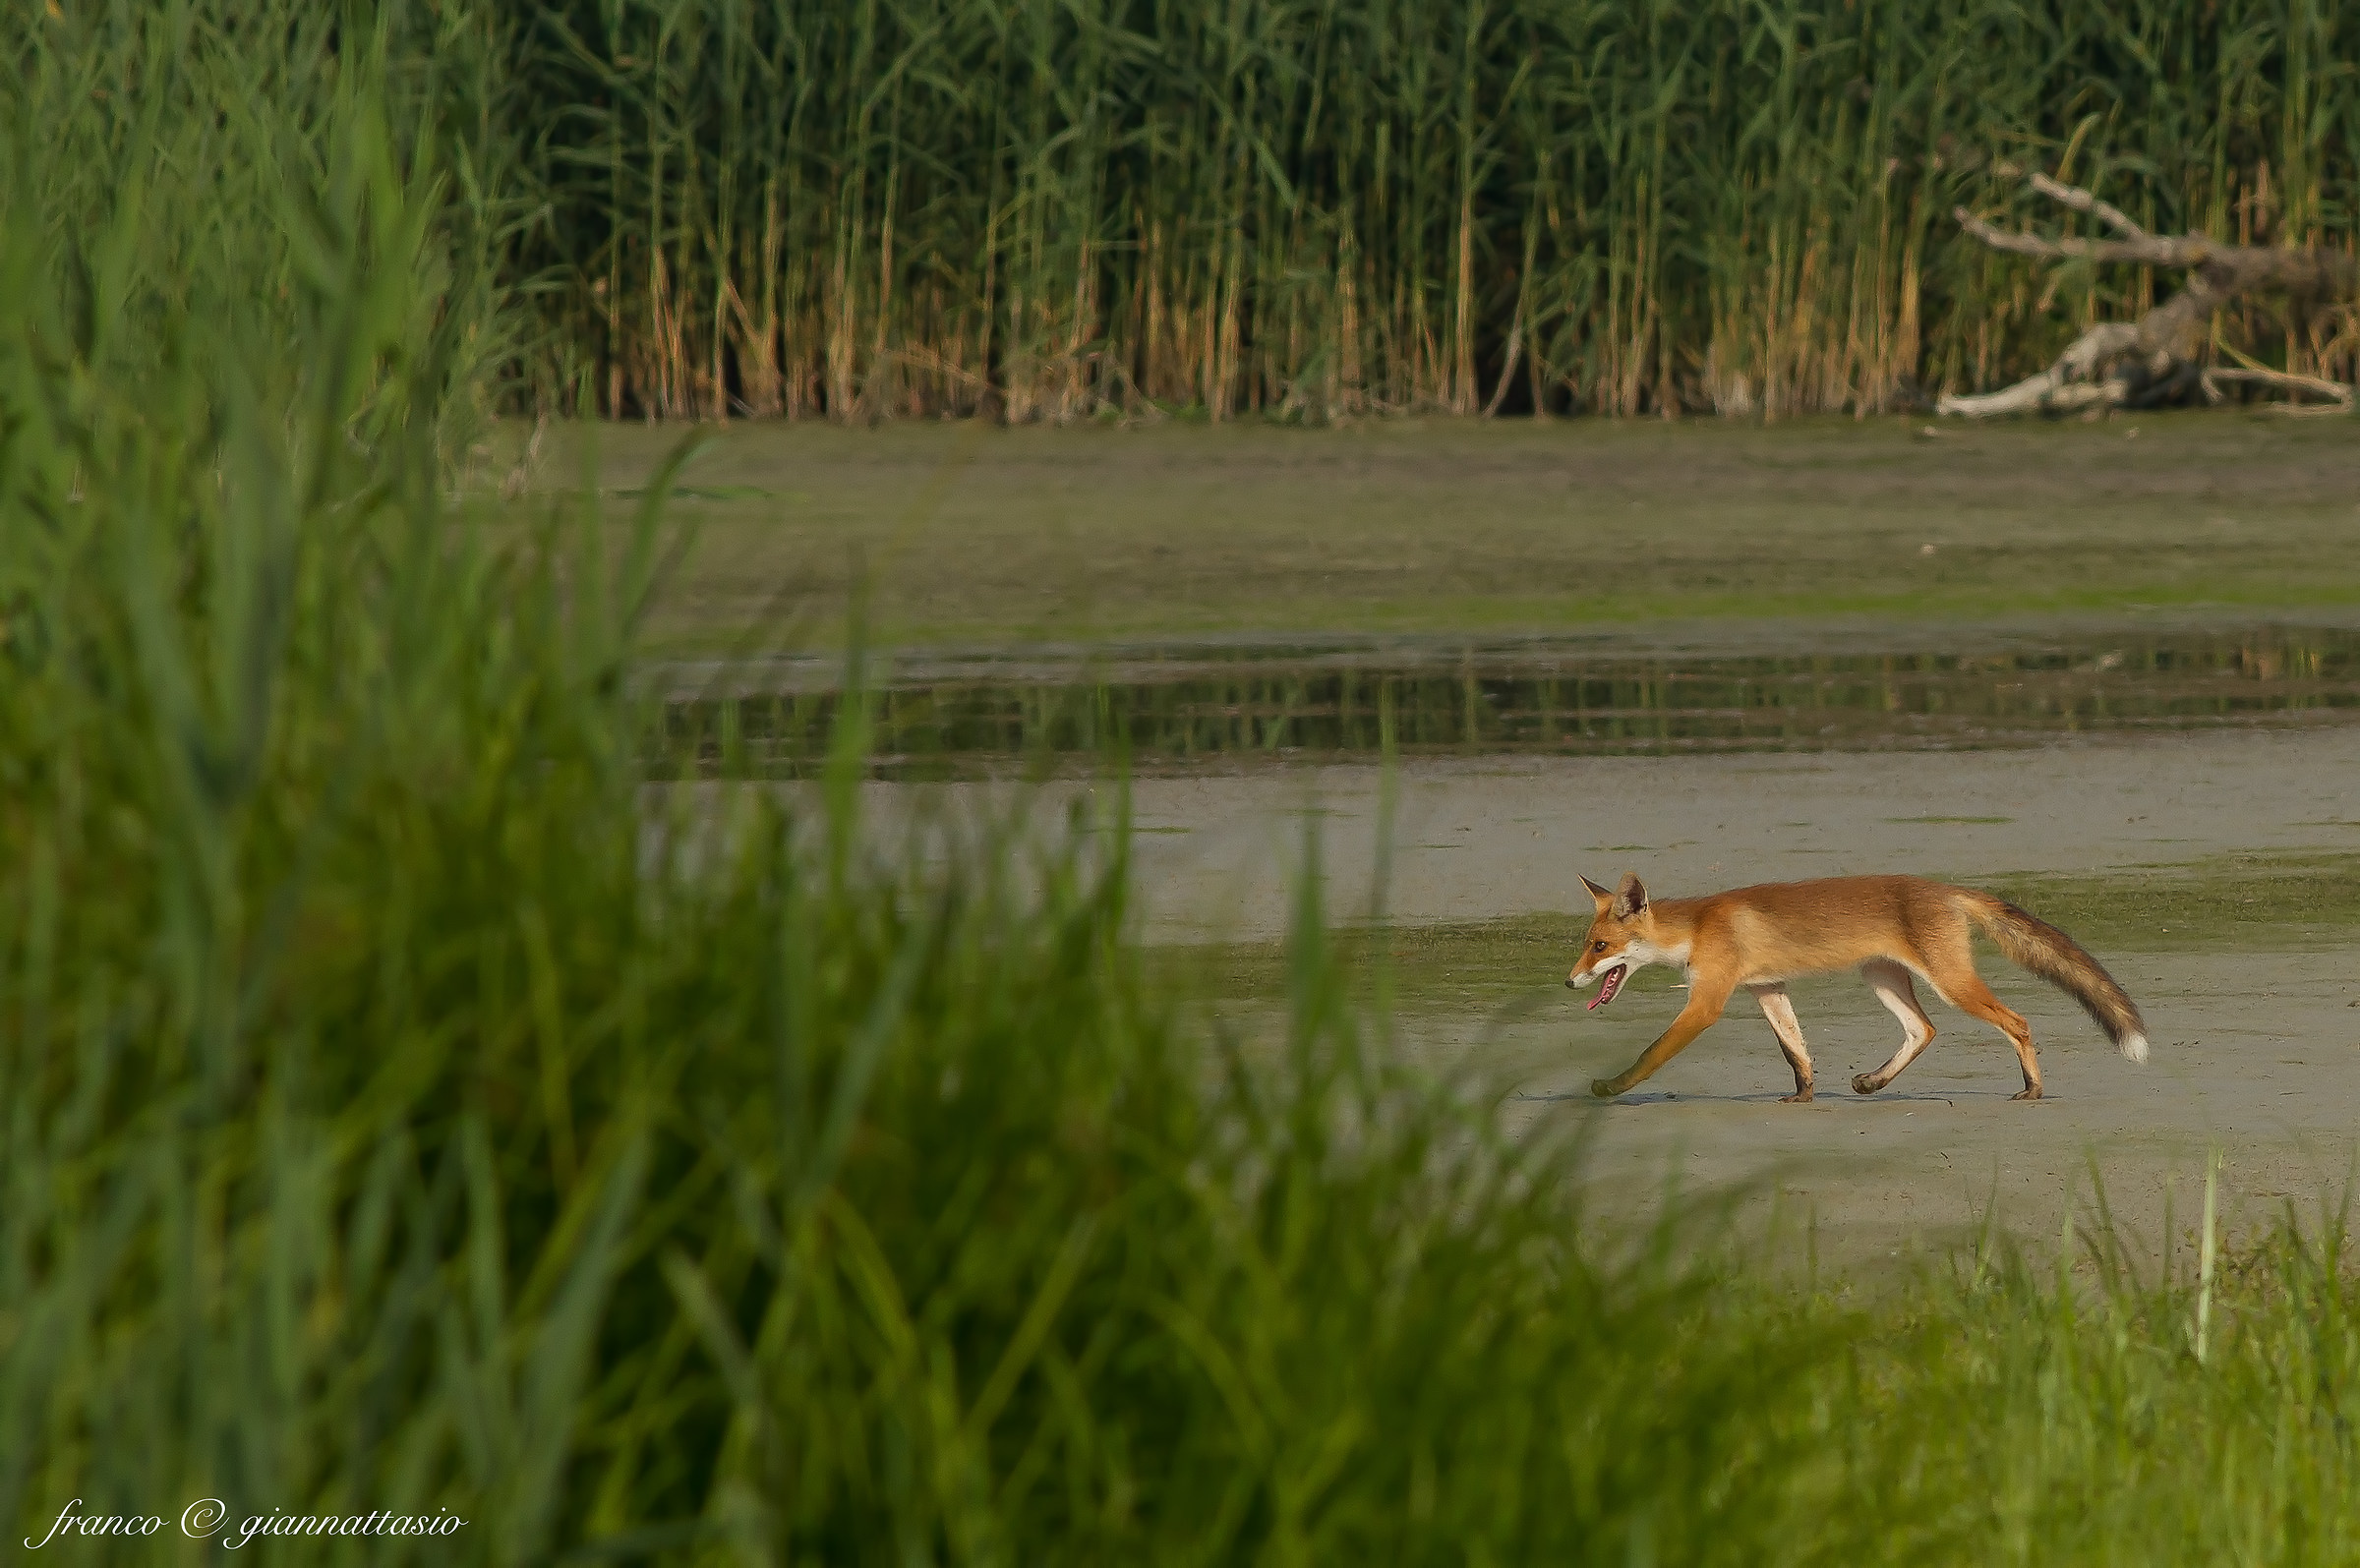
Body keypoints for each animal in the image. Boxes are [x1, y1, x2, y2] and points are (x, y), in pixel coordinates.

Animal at [1565, 871, 2148, 1102]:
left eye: (1599, 946)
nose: (1569, 981)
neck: (1697, 928)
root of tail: (1947, 888)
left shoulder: (1707, 1003)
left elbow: (1650, 1055)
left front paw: (1610, 1088)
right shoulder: (1766, 989)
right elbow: (1796, 1052)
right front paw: (1802, 1096)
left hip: (1951, 983)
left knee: (2017, 1022)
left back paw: (2032, 1089)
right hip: (1883, 978)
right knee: (1924, 1030)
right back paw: (1874, 1082)